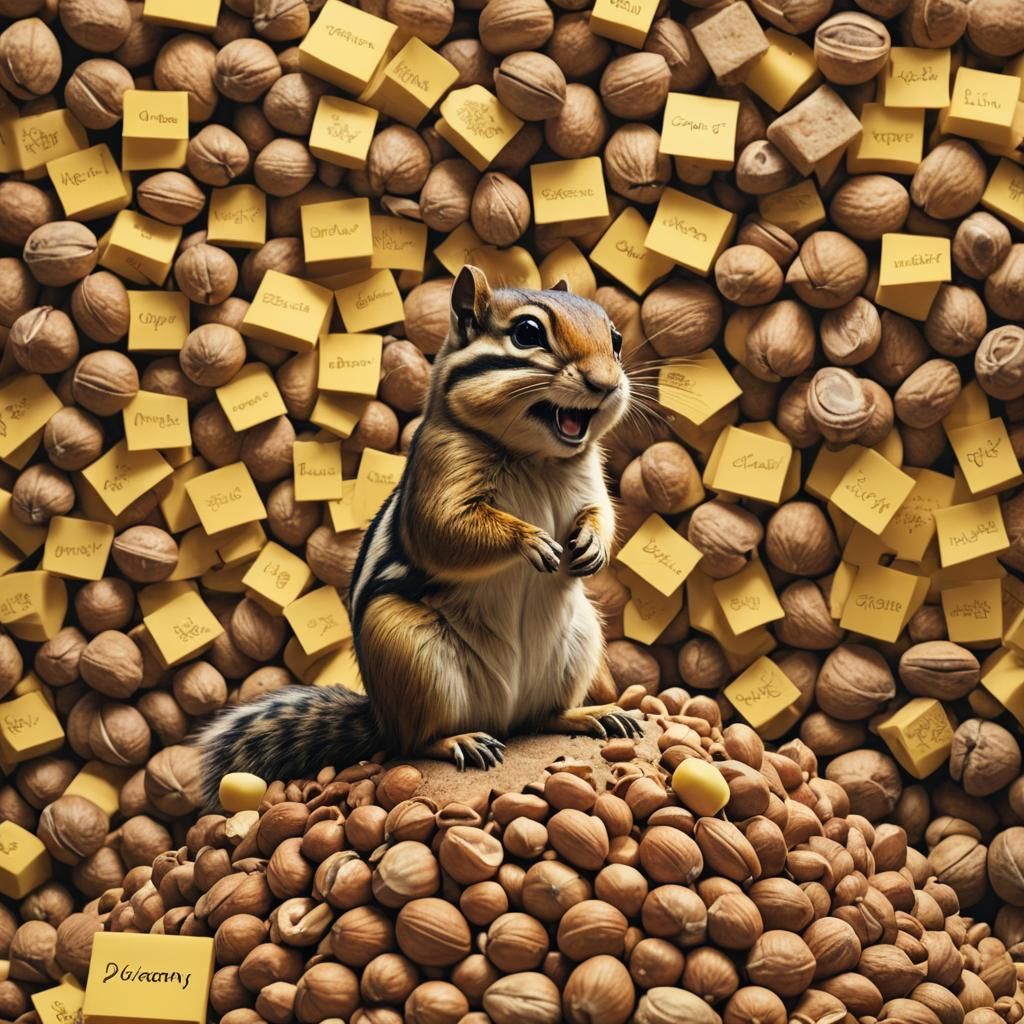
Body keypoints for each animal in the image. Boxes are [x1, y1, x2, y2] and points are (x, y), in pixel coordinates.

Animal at [197, 265, 642, 798]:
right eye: (527, 333)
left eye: (615, 339)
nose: (606, 383)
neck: (536, 458)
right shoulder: (438, 473)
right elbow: (446, 531)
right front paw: (530, 539)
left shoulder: (592, 481)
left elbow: (603, 515)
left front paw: (592, 546)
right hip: (406, 648)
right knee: (415, 740)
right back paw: (460, 741)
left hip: (580, 638)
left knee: (543, 717)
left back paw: (591, 715)